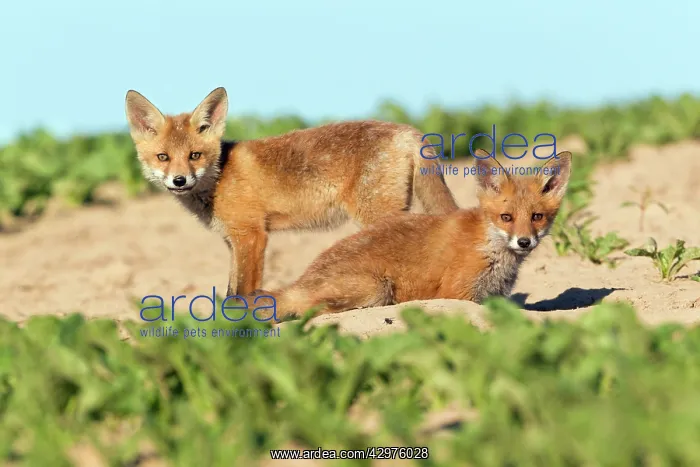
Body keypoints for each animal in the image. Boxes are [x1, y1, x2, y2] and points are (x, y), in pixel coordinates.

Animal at [124, 87, 459, 296]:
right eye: (163, 157)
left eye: (195, 155)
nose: (179, 180)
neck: (220, 178)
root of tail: (408, 130)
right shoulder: (232, 241)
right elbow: (229, 290)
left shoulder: (252, 236)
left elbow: (241, 292)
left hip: (376, 216)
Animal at [252, 149, 572, 320]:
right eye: (506, 218)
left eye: (537, 217)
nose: (524, 241)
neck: (489, 246)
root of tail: (302, 279)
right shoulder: (459, 293)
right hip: (376, 289)